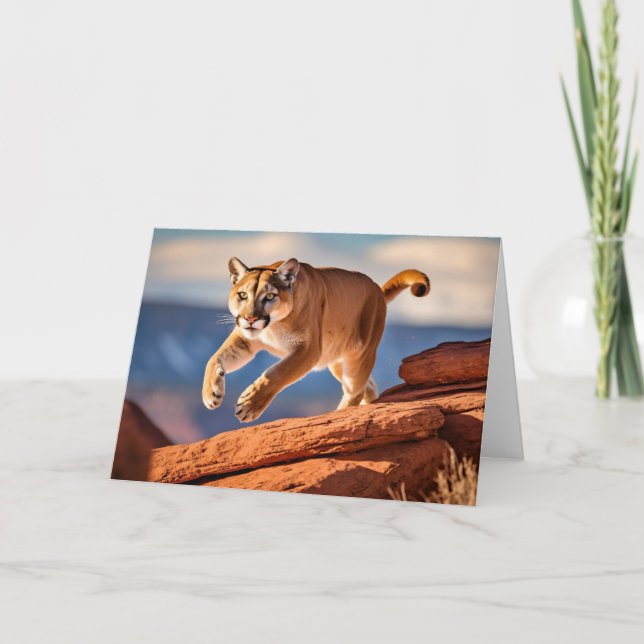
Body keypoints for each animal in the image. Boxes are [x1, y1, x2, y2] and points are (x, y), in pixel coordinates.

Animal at [202, 257, 430, 423]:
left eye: (270, 296)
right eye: (242, 295)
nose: (250, 319)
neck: (274, 326)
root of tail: (377, 290)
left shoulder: (309, 350)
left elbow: (277, 374)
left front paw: (249, 405)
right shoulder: (245, 340)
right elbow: (214, 359)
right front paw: (211, 394)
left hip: (360, 355)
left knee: (354, 391)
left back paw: (338, 417)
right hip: (336, 361)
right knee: (368, 385)